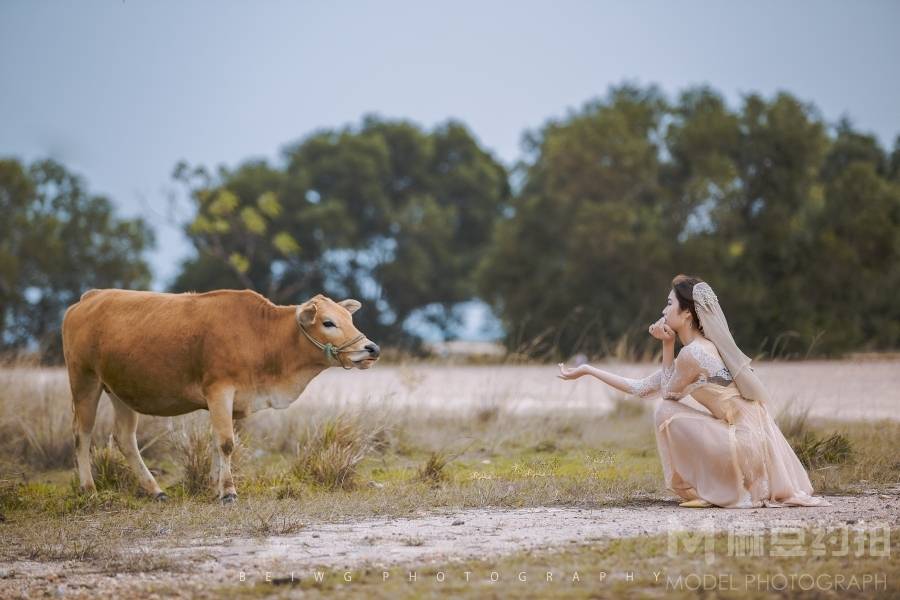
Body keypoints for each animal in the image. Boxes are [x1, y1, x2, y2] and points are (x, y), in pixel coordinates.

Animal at [61, 288, 380, 504]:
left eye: (349, 318)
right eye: (328, 322)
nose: (372, 348)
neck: (262, 335)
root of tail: (90, 297)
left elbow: (216, 442)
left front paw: (214, 486)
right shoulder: (219, 391)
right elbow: (226, 443)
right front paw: (228, 492)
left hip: (120, 391)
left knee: (125, 439)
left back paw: (155, 490)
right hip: (85, 382)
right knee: (81, 434)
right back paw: (89, 489)